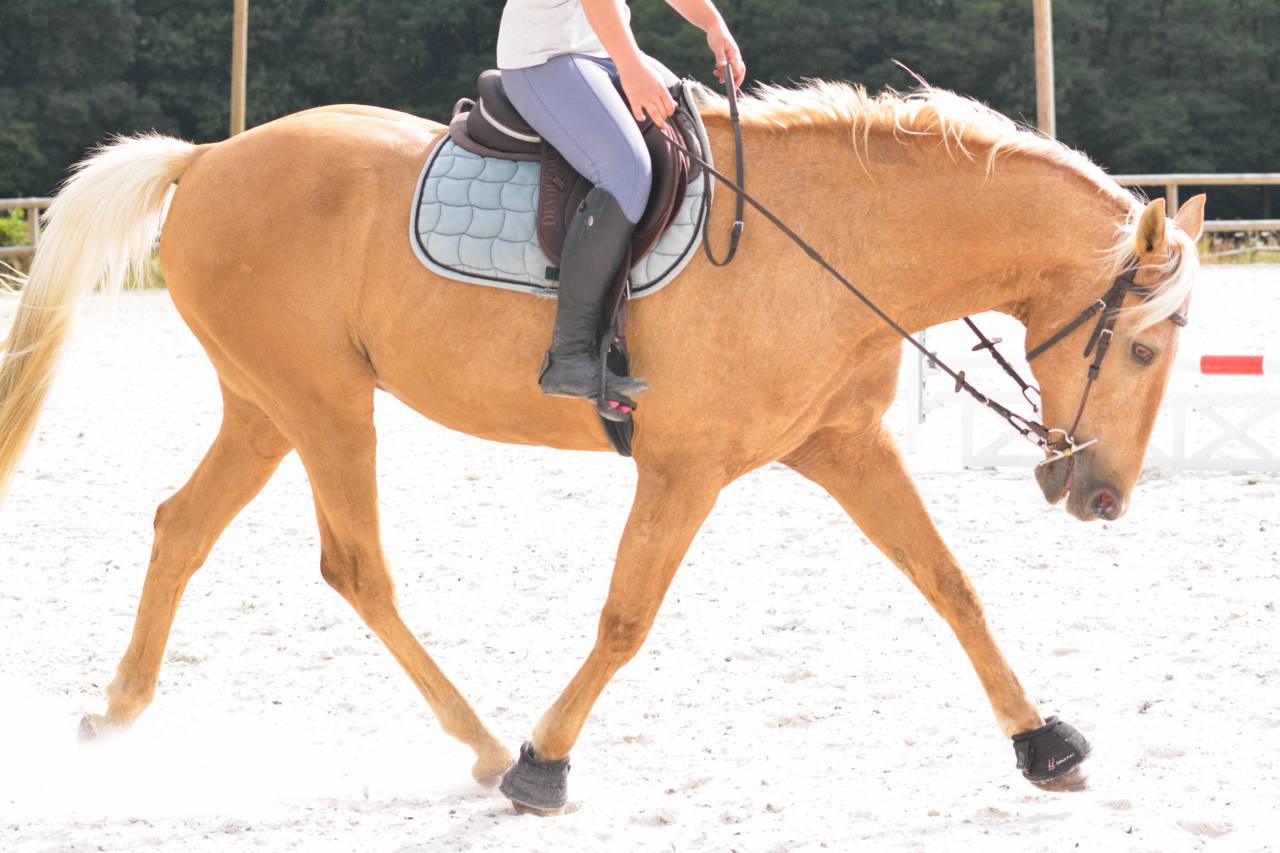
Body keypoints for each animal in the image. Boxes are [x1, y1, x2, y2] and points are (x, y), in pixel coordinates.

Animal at [0, 81, 1203, 811]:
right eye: (1146, 348)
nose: (1103, 498)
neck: (839, 244)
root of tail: (206, 158)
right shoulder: (685, 467)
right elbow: (627, 617)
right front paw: (544, 764)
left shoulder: (843, 447)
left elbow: (951, 585)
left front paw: (1042, 742)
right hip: (325, 405)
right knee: (355, 567)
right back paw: (489, 747)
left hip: (264, 408)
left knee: (182, 526)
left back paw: (116, 714)